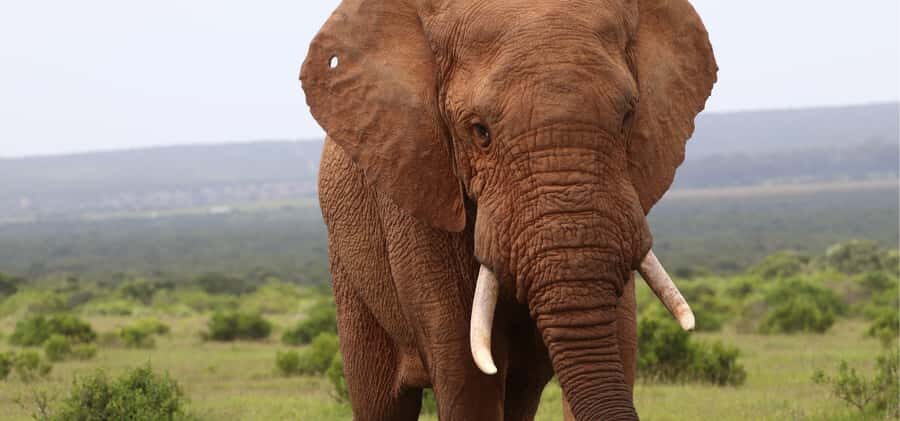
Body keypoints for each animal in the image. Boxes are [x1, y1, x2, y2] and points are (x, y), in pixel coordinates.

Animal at [300, 0, 716, 419]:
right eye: (480, 132)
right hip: (348, 270)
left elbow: (618, 340)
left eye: (628, 118)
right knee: (380, 400)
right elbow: (467, 373)